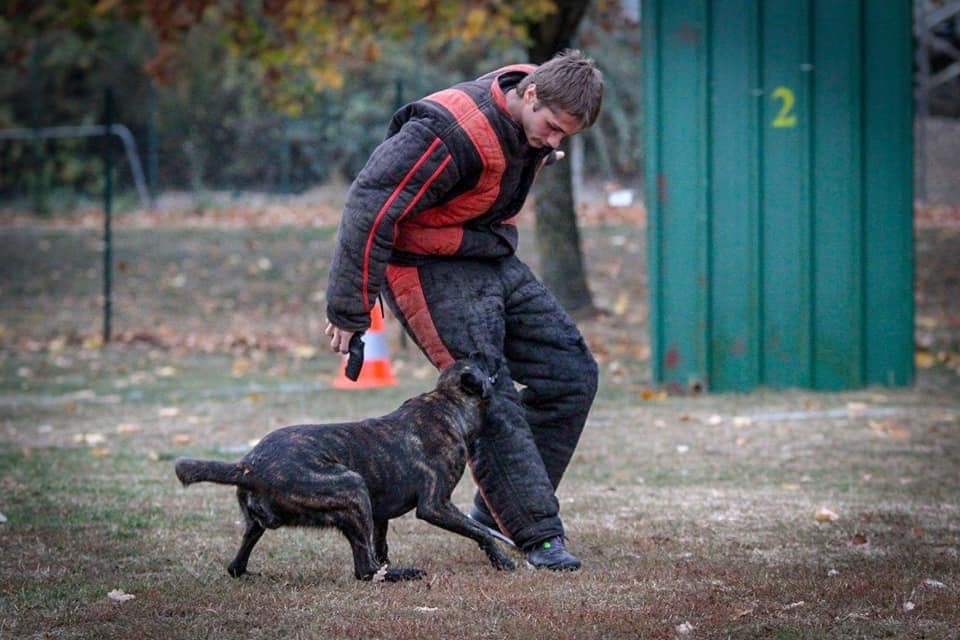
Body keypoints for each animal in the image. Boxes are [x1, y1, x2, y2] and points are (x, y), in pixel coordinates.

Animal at [175, 358, 512, 584]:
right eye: (480, 362)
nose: (492, 353)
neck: (446, 402)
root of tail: (248, 465)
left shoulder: (379, 515)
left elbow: (380, 543)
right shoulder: (436, 505)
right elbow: (480, 531)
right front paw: (502, 559)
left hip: (259, 525)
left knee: (235, 565)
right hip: (352, 488)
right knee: (364, 571)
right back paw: (403, 574)